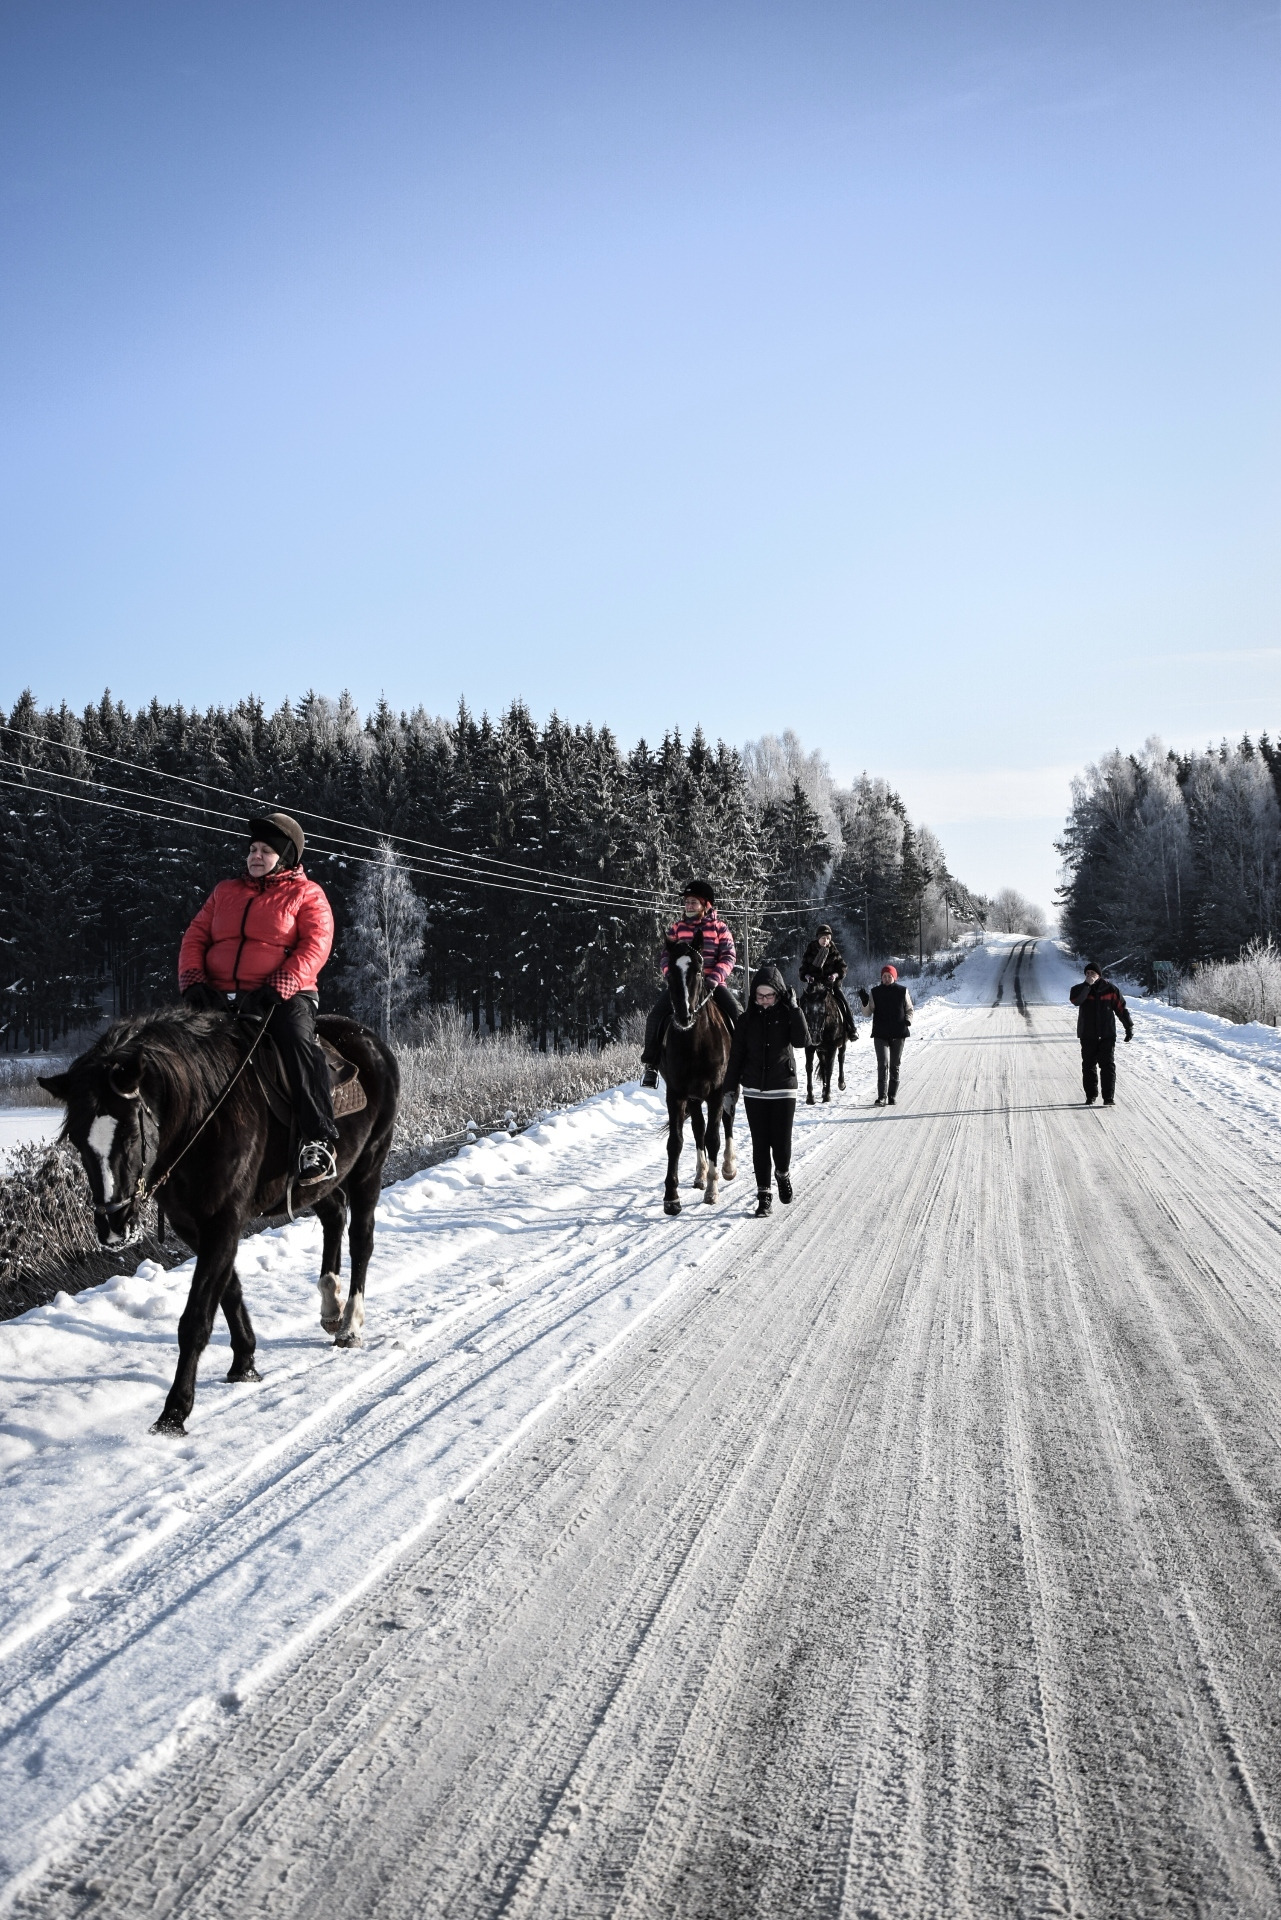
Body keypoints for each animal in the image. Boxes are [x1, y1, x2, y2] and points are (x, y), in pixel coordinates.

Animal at [40, 1013, 397, 1436]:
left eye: (128, 1131)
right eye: (77, 1139)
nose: (113, 1223)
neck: (203, 1117)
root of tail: (371, 1039)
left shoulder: (223, 1219)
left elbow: (196, 1316)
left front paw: (174, 1411)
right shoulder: (192, 1225)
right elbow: (228, 1289)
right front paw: (245, 1362)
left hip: (369, 1165)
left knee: (361, 1240)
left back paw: (350, 1325)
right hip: (313, 1183)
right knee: (334, 1214)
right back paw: (330, 1306)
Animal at [660, 933, 741, 1213]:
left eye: (697, 969)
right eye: (670, 973)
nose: (684, 1016)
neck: (694, 1041)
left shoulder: (717, 1092)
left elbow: (713, 1138)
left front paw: (712, 1190)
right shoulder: (676, 1094)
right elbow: (676, 1142)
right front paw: (671, 1198)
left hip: (727, 1090)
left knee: (727, 1120)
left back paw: (727, 1167)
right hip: (694, 1098)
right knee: (697, 1128)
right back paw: (699, 1173)